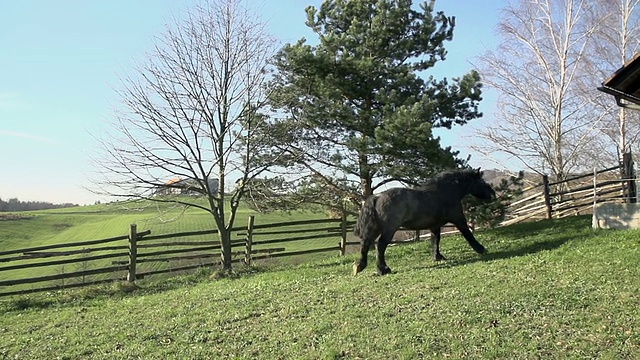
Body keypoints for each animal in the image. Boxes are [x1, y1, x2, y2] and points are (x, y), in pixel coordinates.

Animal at [356, 169, 496, 276]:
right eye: (482, 181)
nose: (493, 194)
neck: (446, 192)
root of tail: (378, 196)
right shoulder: (458, 219)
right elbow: (468, 234)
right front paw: (481, 249)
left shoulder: (435, 226)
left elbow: (436, 240)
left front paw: (437, 257)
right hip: (389, 229)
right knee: (380, 245)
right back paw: (383, 269)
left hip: (375, 227)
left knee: (366, 243)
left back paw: (360, 266)